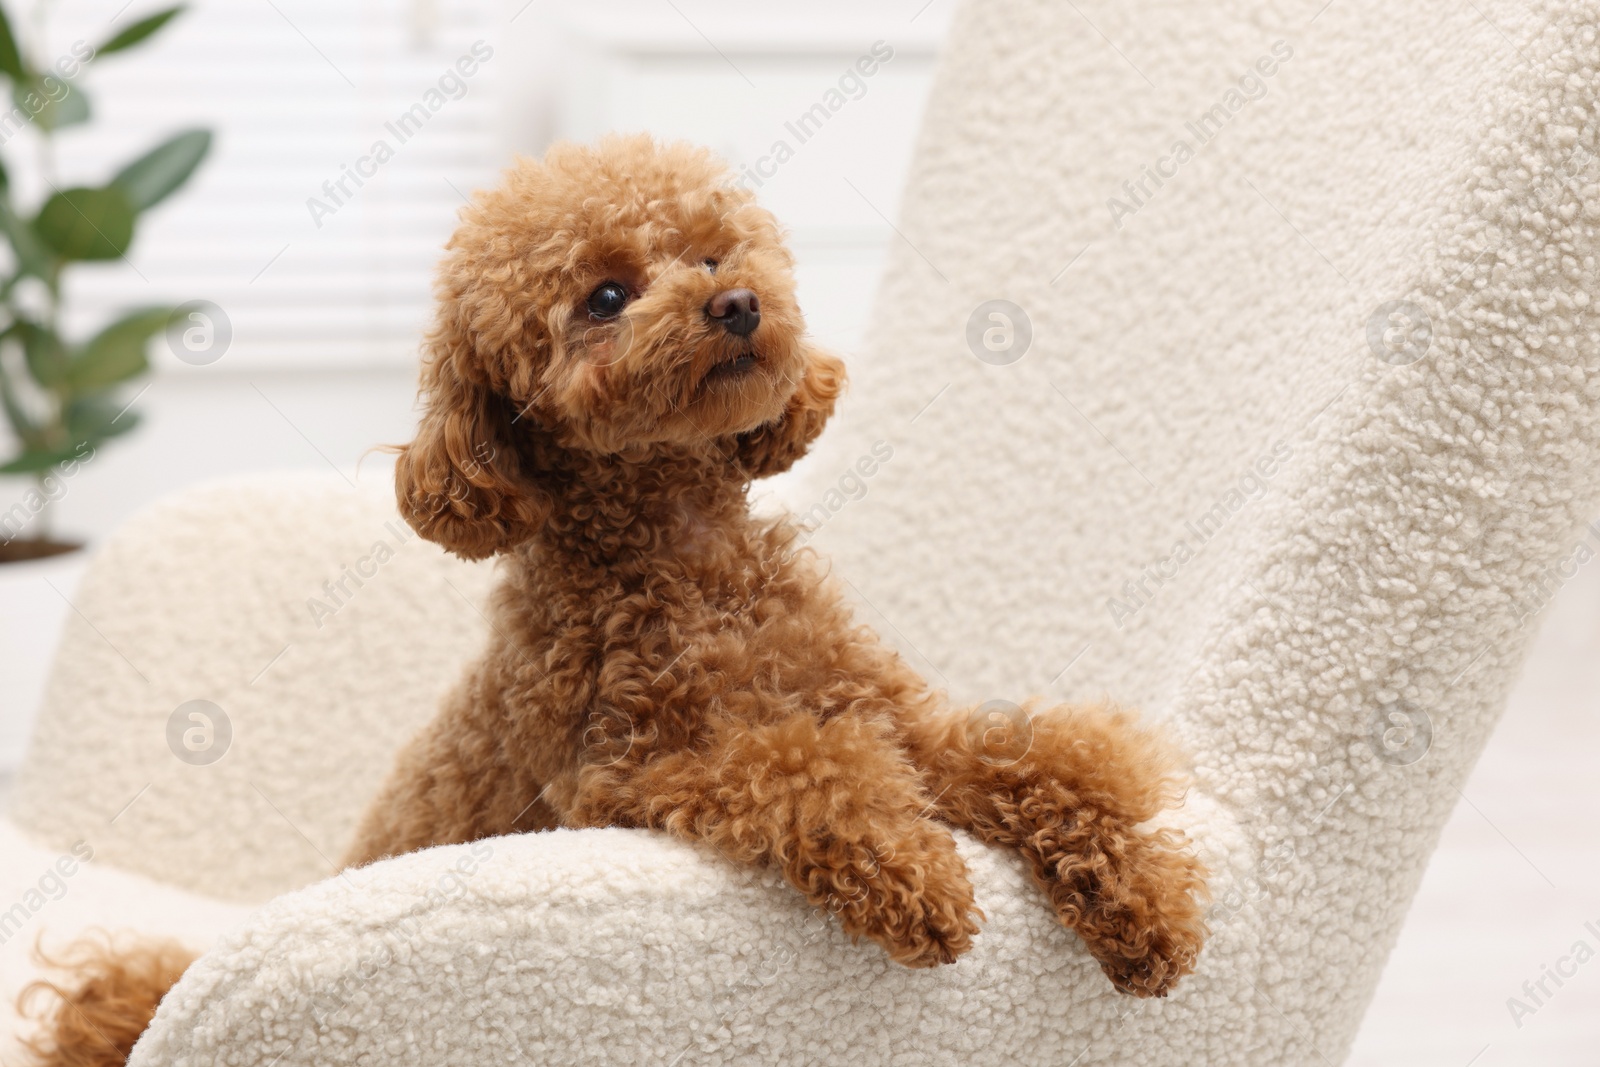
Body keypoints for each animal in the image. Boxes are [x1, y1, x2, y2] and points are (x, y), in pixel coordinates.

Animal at [21, 133, 1203, 1067]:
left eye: (715, 252)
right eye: (604, 296)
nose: (738, 303)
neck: (684, 554)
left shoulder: (892, 710)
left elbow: (1033, 754)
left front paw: (1141, 897)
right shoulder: (631, 774)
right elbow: (802, 767)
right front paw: (915, 873)